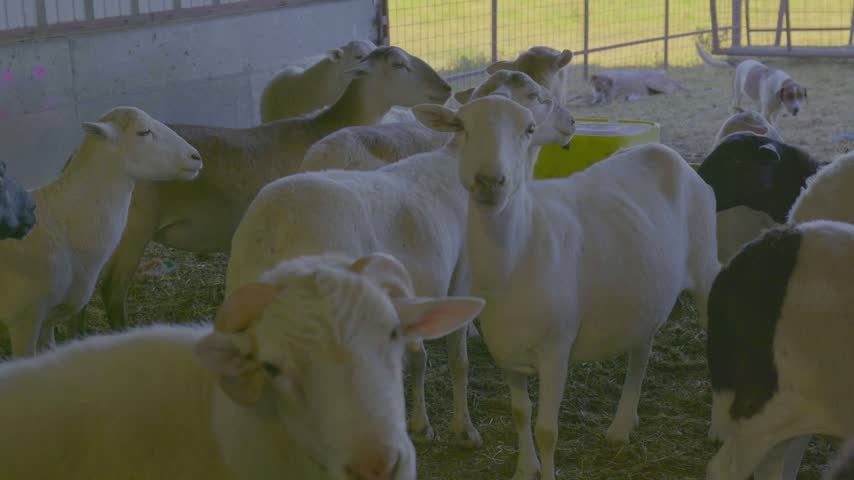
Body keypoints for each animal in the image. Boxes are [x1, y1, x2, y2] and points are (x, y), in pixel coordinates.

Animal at [226, 80, 575, 449]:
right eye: (538, 100)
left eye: (527, 127)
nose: (571, 122)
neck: (453, 162)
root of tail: (277, 226)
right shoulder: (461, 279)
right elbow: (459, 362)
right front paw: (463, 428)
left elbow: (418, 357)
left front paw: (421, 424)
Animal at [413, 95, 718, 480]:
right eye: (461, 127)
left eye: (529, 129)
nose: (489, 180)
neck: (518, 251)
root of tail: (664, 151)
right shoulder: (505, 352)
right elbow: (520, 414)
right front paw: (524, 469)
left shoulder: (556, 350)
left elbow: (547, 430)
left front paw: (546, 471)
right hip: (645, 293)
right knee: (641, 351)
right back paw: (621, 426)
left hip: (706, 270)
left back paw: (717, 429)